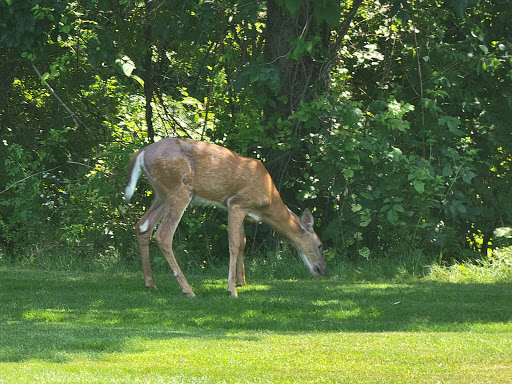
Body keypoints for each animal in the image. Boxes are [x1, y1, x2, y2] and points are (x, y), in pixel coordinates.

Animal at [124, 138, 326, 296]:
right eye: (320, 245)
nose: (323, 270)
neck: (268, 202)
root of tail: (142, 152)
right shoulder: (237, 203)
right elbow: (234, 244)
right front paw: (231, 290)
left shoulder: (243, 212)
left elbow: (243, 242)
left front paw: (242, 282)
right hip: (178, 189)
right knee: (163, 235)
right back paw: (188, 290)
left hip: (161, 193)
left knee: (142, 226)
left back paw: (150, 284)